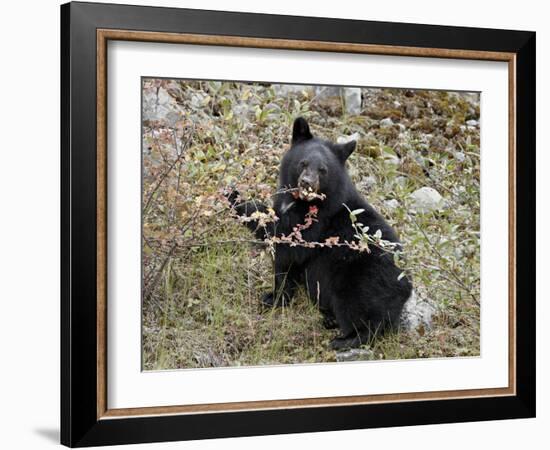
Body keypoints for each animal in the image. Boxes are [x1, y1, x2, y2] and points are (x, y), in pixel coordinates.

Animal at [226, 118, 412, 350]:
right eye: (303, 163)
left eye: (323, 170)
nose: (306, 182)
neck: (301, 202)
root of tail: (406, 289)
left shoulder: (316, 223)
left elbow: (285, 241)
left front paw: (234, 196)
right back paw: (330, 320)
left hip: (363, 280)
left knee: (363, 313)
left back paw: (345, 339)